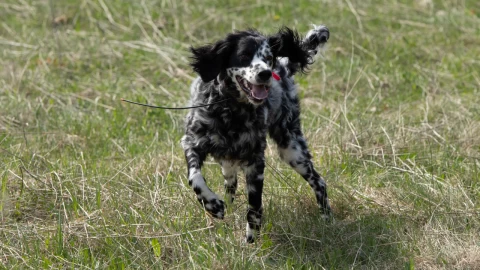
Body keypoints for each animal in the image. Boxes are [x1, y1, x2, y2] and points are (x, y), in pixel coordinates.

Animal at [182, 23, 332, 243]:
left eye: (268, 57)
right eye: (244, 55)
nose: (266, 74)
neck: (231, 111)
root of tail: (283, 67)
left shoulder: (255, 161)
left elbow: (254, 206)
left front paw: (251, 240)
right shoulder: (192, 142)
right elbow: (195, 178)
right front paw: (213, 204)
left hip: (292, 149)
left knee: (319, 182)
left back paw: (327, 218)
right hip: (229, 162)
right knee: (230, 184)